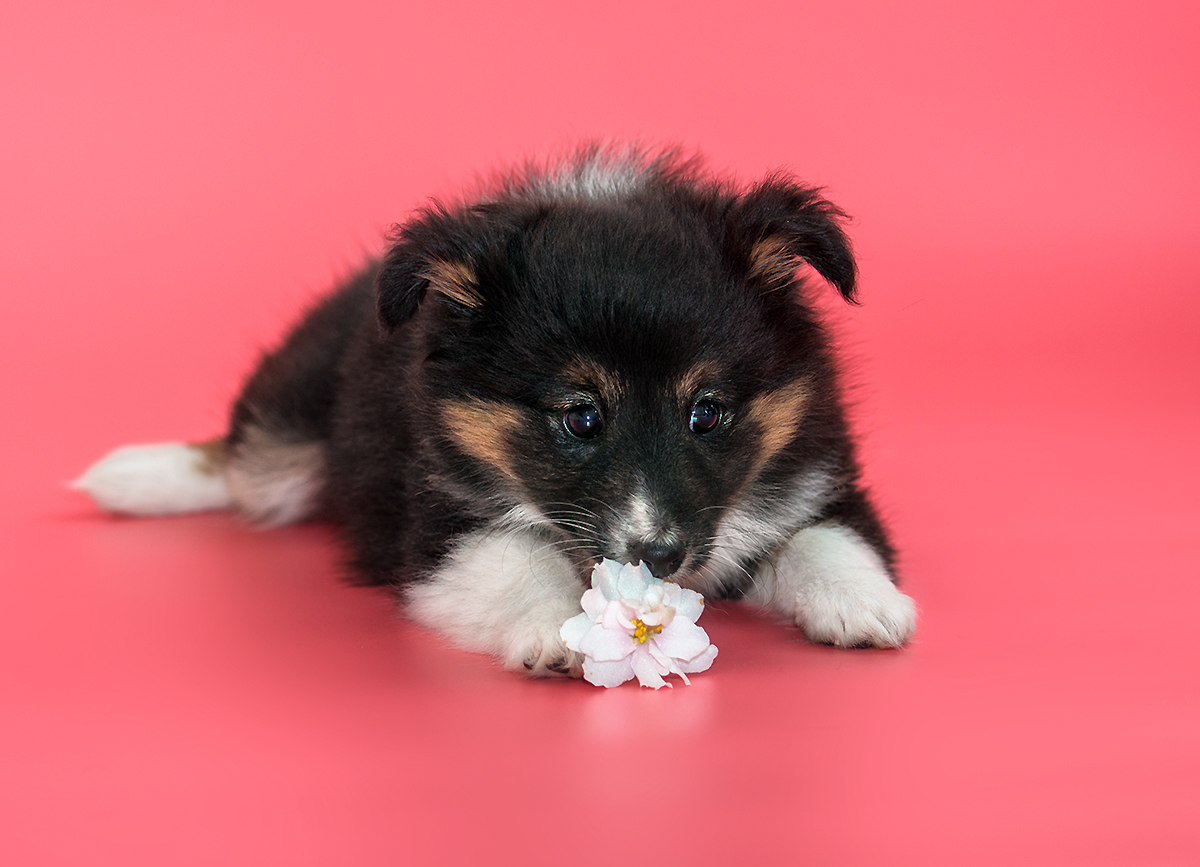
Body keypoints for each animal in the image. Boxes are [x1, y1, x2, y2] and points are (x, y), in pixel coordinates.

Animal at [77, 145, 916, 677]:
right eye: (581, 417)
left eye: (707, 413)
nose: (661, 556)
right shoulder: (437, 521)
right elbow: (515, 559)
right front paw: (556, 631)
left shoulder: (813, 468)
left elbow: (826, 536)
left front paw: (869, 606)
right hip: (286, 433)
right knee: (240, 461)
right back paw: (138, 475)